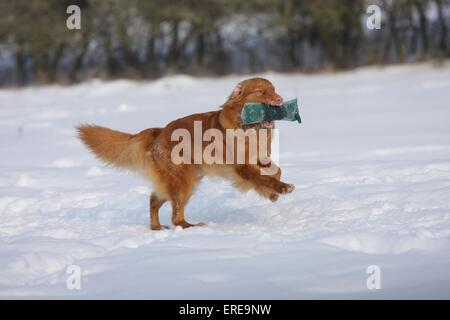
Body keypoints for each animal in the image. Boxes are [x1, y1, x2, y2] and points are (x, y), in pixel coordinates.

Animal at [77, 77, 296, 230]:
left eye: (274, 89)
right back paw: (190, 226)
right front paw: (280, 188)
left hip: (180, 179)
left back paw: (156, 227)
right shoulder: (242, 166)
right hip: (184, 179)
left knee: (154, 200)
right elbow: (263, 177)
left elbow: (275, 171)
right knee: (176, 216)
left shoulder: (260, 158)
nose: (280, 99)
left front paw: (272, 194)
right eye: (261, 91)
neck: (249, 127)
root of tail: (159, 132)